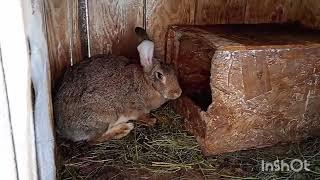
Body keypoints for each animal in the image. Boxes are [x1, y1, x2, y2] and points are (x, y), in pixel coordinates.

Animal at [53, 26, 181, 144]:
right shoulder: (136, 108)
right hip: (104, 118)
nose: (178, 92)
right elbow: (141, 117)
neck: (146, 83)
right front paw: (151, 121)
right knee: (93, 140)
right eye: (160, 75)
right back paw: (124, 129)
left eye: (174, 70)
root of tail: (63, 130)